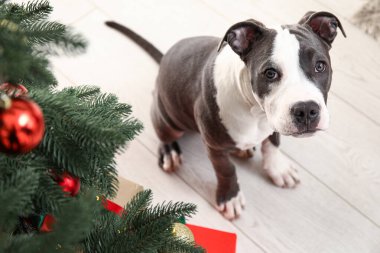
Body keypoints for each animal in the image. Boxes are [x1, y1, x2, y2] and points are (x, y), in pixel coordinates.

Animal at [105, 10, 346, 218]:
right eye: (270, 73)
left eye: (320, 66)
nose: (306, 109)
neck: (255, 111)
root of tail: (164, 58)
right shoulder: (216, 146)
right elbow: (226, 170)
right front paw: (230, 197)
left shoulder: (272, 121)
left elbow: (273, 143)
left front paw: (278, 169)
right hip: (168, 117)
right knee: (164, 133)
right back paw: (170, 151)